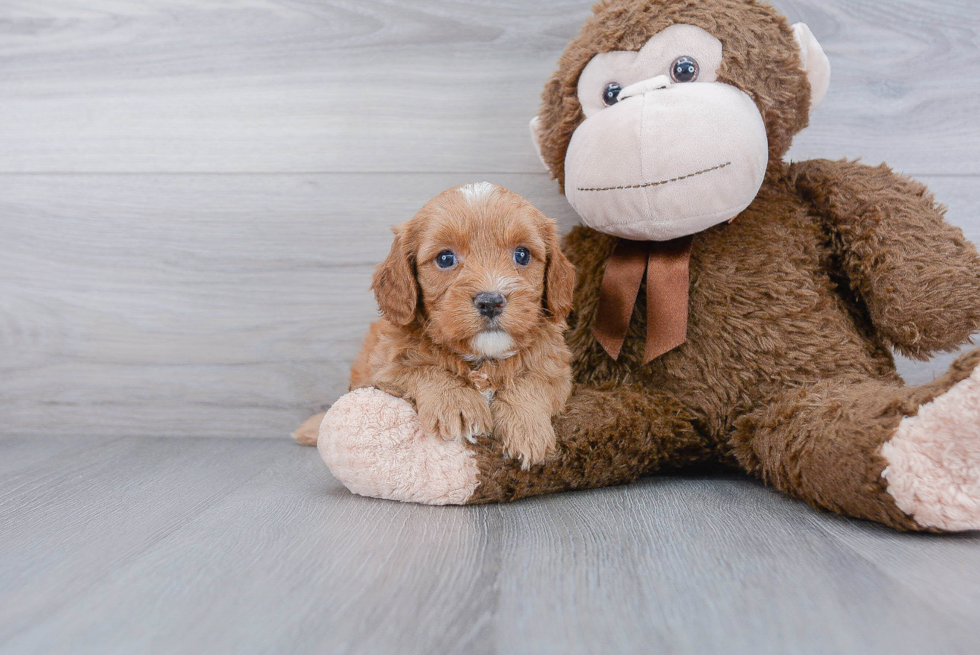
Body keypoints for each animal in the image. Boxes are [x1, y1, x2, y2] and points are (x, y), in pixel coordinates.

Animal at [294, 182, 580, 468]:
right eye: (445, 258)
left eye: (522, 255)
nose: (490, 302)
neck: (482, 358)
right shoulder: (385, 372)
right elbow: (424, 368)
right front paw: (457, 402)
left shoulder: (556, 370)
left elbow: (532, 381)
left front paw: (527, 428)